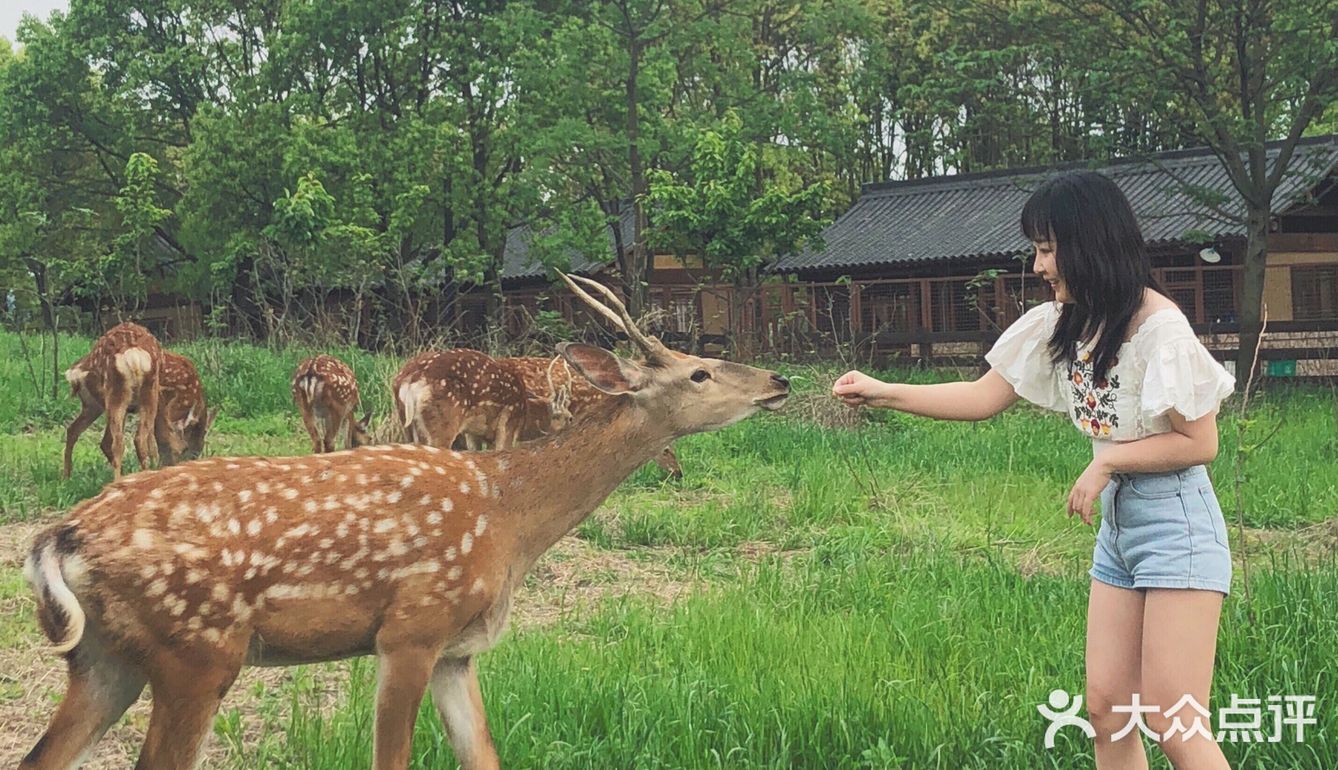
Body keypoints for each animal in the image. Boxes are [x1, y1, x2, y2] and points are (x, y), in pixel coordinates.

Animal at [61, 317, 163, 476]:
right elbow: (152, 441)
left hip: (98, 403)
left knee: (77, 431)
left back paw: (67, 476)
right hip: (139, 393)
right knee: (133, 439)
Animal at [390, 348, 569, 452]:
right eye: (569, 417)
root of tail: (409, 379)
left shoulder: (472, 432)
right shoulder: (509, 422)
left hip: (407, 424)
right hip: (444, 419)